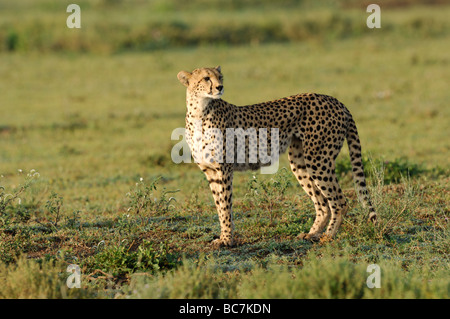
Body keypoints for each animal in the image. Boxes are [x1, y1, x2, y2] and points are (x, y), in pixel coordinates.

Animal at [176, 66, 376, 249]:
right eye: (206, 78)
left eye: (220, 77)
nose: (220, 87)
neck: (199, 111)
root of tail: (334, 100)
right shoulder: (210, 171)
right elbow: (220, 205)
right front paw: (225, 236)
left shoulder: (224, 168)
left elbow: (225, 206)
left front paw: (226, 239)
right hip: (300, 161)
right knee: (322, 204)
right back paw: (311, 234)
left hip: (317, 159)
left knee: (340, 202)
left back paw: (328, 236)